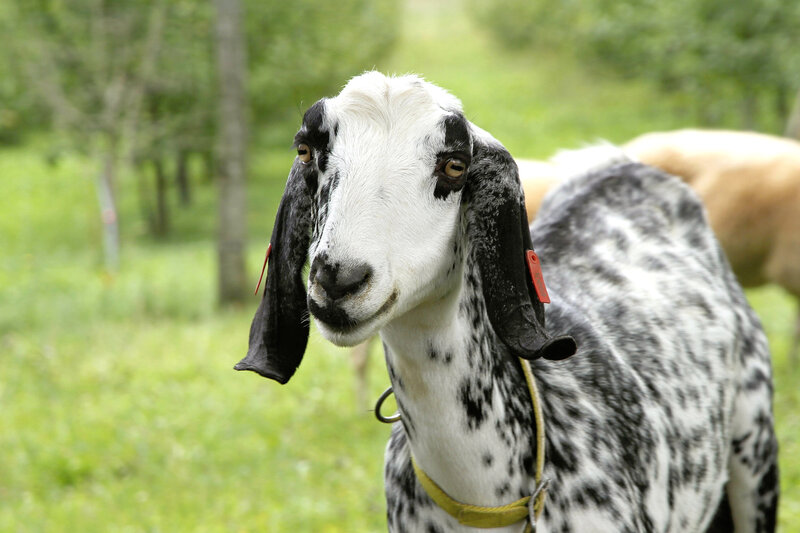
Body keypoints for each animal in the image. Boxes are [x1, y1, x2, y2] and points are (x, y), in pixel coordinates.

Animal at [237, 73, 778, 532]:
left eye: (455, 165)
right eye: (307, 151)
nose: (339, 280)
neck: (481, 494)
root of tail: (624, 170)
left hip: (755, 449)